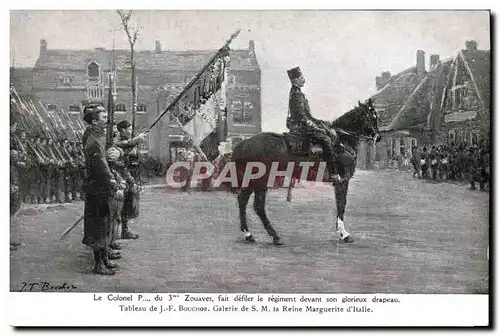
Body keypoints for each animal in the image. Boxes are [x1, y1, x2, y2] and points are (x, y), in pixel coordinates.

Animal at [229, 98, 380, 245]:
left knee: (243, 201)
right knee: (257, 206)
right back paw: (273, 236)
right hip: (261, 181)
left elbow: (340, 206)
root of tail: (244, 144)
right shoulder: (342, 181)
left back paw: (250, 235)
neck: (342, 142)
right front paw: (344, 234)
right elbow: (341, 206)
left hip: (254, 182)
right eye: (373, 117)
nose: (378, 137)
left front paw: (341, 232)